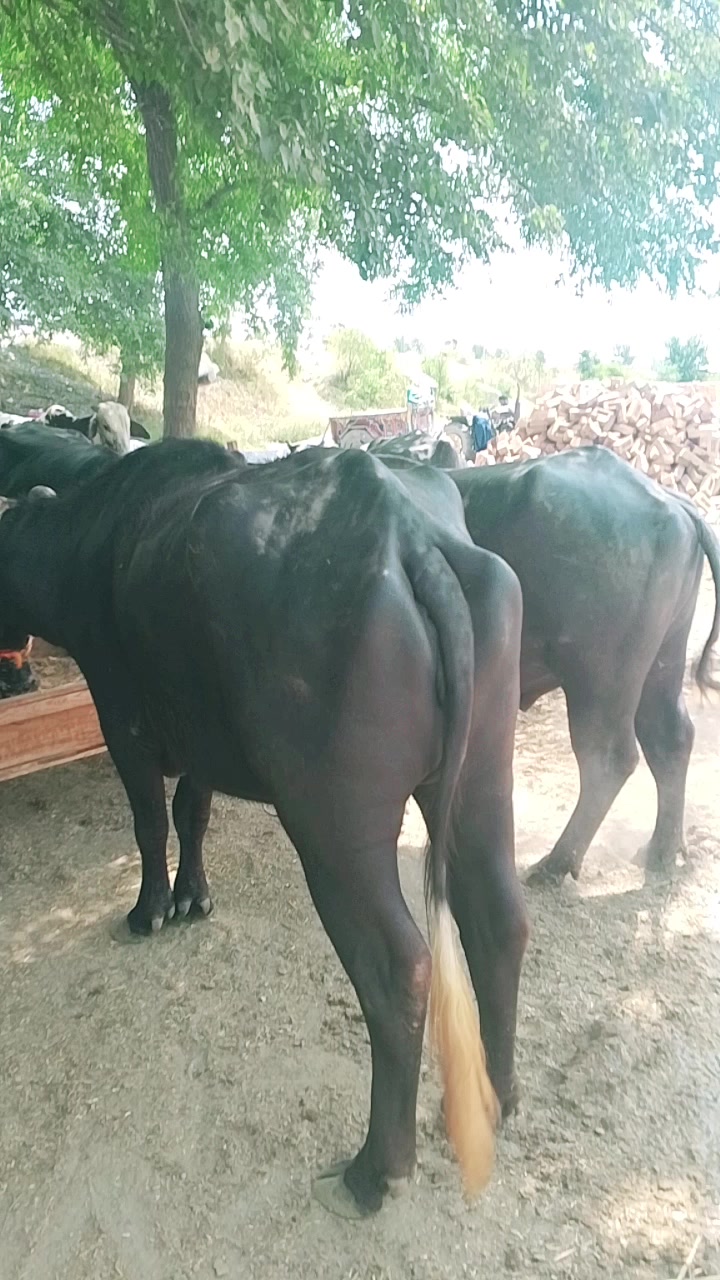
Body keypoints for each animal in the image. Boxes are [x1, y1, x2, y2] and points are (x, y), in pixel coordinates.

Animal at [0, 441, 527, 1217]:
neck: (92, 539)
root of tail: (412, 540)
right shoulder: (203, 743)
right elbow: (191, 813)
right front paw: (193, 897)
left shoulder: (123, 720)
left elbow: (149, 820)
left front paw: (150, 909)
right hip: (482, 784)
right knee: (499, 918)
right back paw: (497, 1097)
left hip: (335, 829)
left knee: (398, 966)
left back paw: (374, 1172)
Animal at [443, 445, 720, 884]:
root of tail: (673, 505)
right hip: (662, 661)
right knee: (670, 738)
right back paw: (660, 850)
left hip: (598, 679)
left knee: (607, 759)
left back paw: (556, 863)